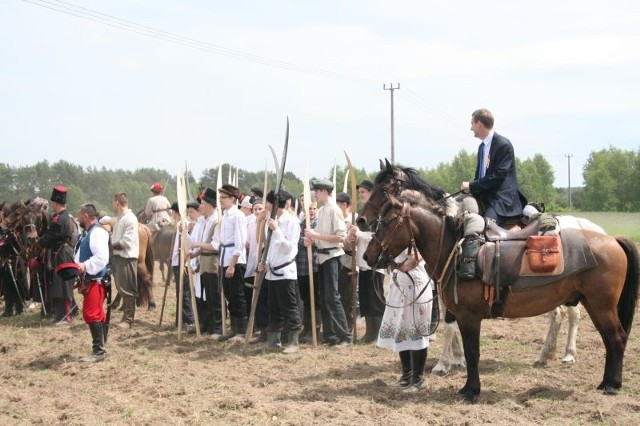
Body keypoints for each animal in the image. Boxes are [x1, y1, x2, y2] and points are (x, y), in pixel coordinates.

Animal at [362, 193, 636, 402]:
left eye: (386, 222)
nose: (367, 256)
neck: (455, 250)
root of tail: (612, 239)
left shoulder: (469, 317)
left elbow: (473, 353)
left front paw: (470, 391)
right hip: (594, 304)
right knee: (608, 339)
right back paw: (602, 381)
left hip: (601, 305)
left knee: (616, 338)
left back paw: (610, 384)